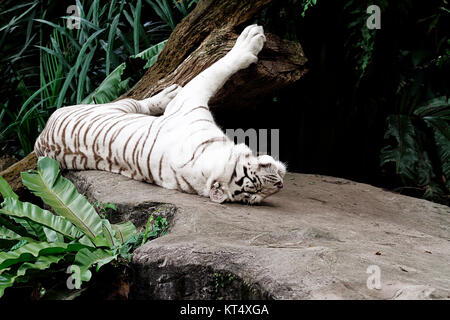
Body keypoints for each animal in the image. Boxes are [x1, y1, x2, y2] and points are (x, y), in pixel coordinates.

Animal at [37, 25, 286, 205]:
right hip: (116, 106)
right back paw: (167, 93)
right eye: (253, 184)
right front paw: (251, 38)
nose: (280, 185)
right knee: (140, 102)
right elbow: (219, 68)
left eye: (254, 197)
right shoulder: (190, 99)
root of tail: (40, 139)